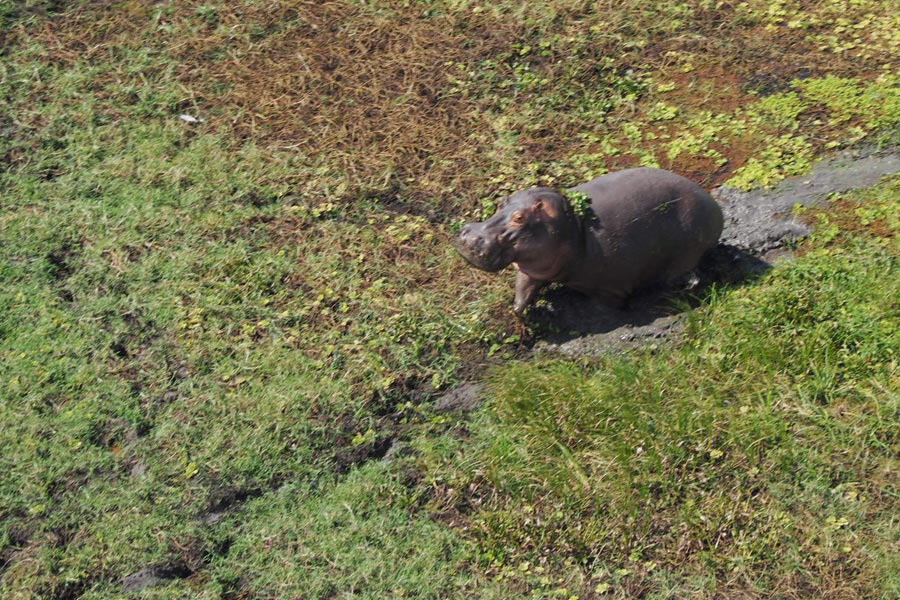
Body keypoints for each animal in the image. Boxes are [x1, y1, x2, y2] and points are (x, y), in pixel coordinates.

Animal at [458, 165, 724, 312]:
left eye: (520, 218)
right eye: (502, 202)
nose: (469, 236)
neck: (572, 226)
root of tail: (714, 206)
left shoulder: (609, 287)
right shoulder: (534, 267)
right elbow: (523, 289)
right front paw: (517, 312)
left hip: (686, 254)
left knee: (686, 276)